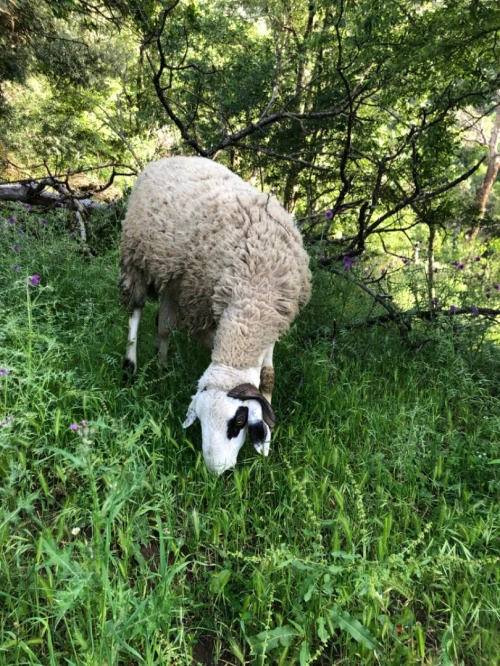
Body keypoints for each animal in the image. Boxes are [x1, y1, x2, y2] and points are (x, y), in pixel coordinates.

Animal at [119, 156, 311, 474]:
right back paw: (130, 365)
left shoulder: (273, 318)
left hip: (175, 277)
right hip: (136, 255)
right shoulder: (201, 307)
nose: (217, 471)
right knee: (136, 311)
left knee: (164, 324)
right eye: (199, 421)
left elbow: (268, 376)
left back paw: (161, 362)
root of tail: (173, 157)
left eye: (238, 421)